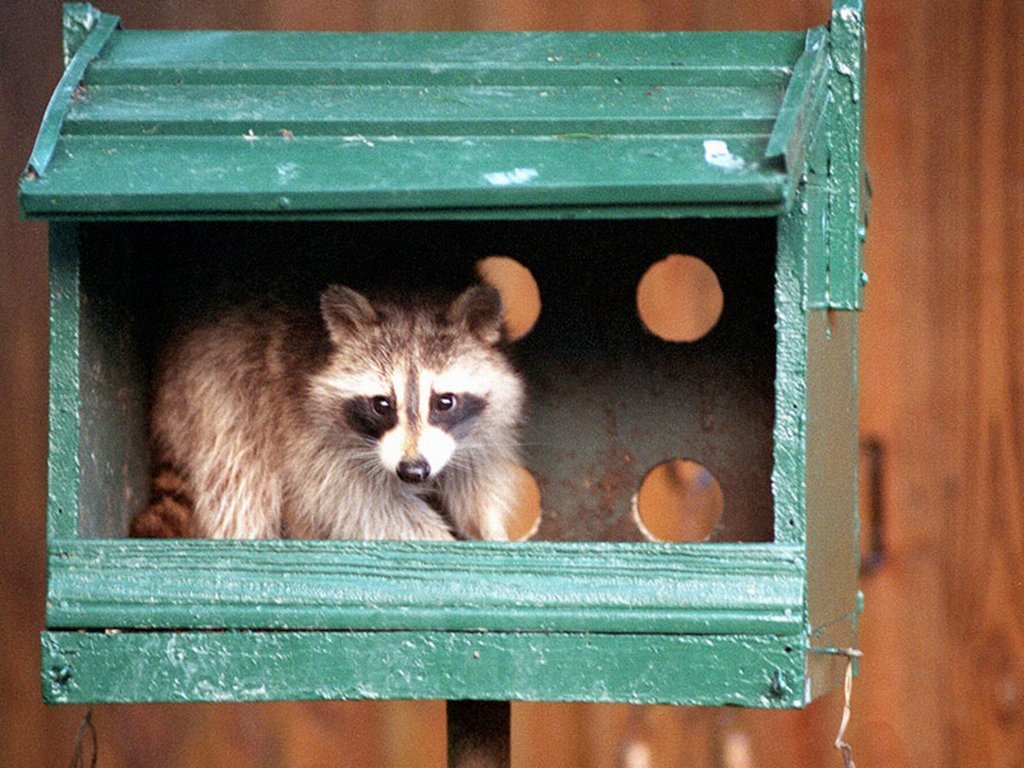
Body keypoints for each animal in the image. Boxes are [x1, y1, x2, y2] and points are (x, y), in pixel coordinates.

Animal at [129, 286, 524, 544]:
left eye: (444, 402)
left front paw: (486, 528)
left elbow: (474, 479)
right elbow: (360, 504)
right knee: (239, 478)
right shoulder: (310, 438)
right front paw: (435, 537)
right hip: (221, 396)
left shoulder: (475, 431)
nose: (413, 470)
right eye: (382, 404)